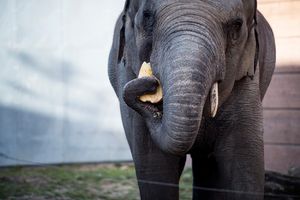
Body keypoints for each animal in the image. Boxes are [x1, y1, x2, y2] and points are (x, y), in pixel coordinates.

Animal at [108, 0, 276, 199]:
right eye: (147, 17)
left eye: (236, 25)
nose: (148, 84)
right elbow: (154, 165)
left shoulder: (246, 80)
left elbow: (244, 166)